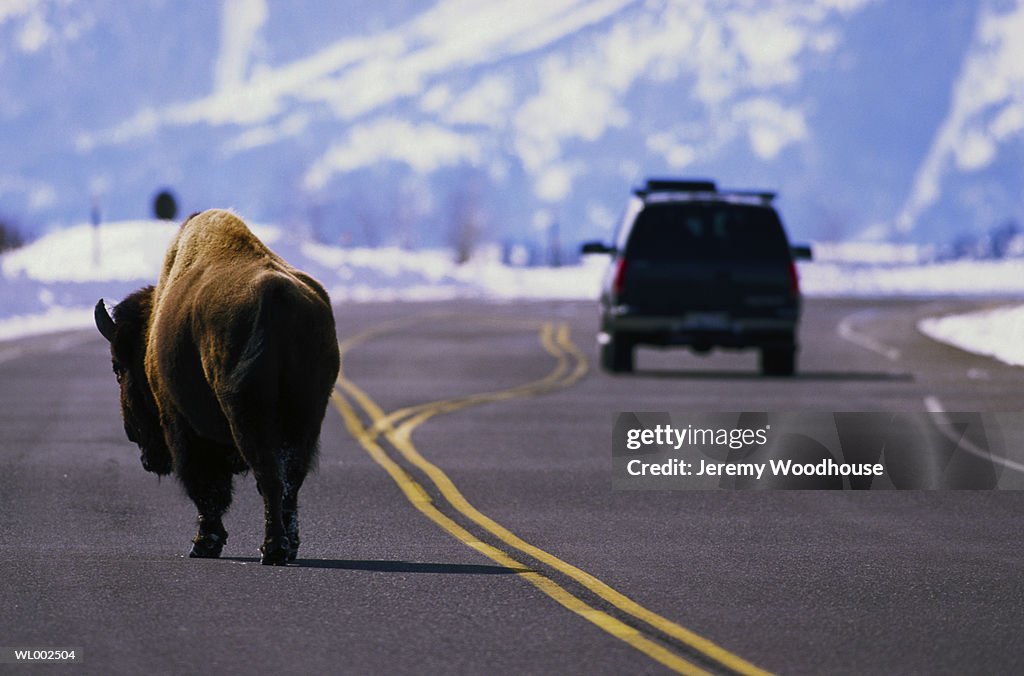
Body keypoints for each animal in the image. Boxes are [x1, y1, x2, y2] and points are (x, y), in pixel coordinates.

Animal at [95, 209, 340, 565]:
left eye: (118, 369)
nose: (134, 438)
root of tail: (276, 294)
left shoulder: (182, 426)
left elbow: (206, 489)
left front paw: (203, 544)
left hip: (246, 413)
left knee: (267, 475)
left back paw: (272, 550)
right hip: (307, 415)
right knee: (290, 479)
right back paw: (288, 546)